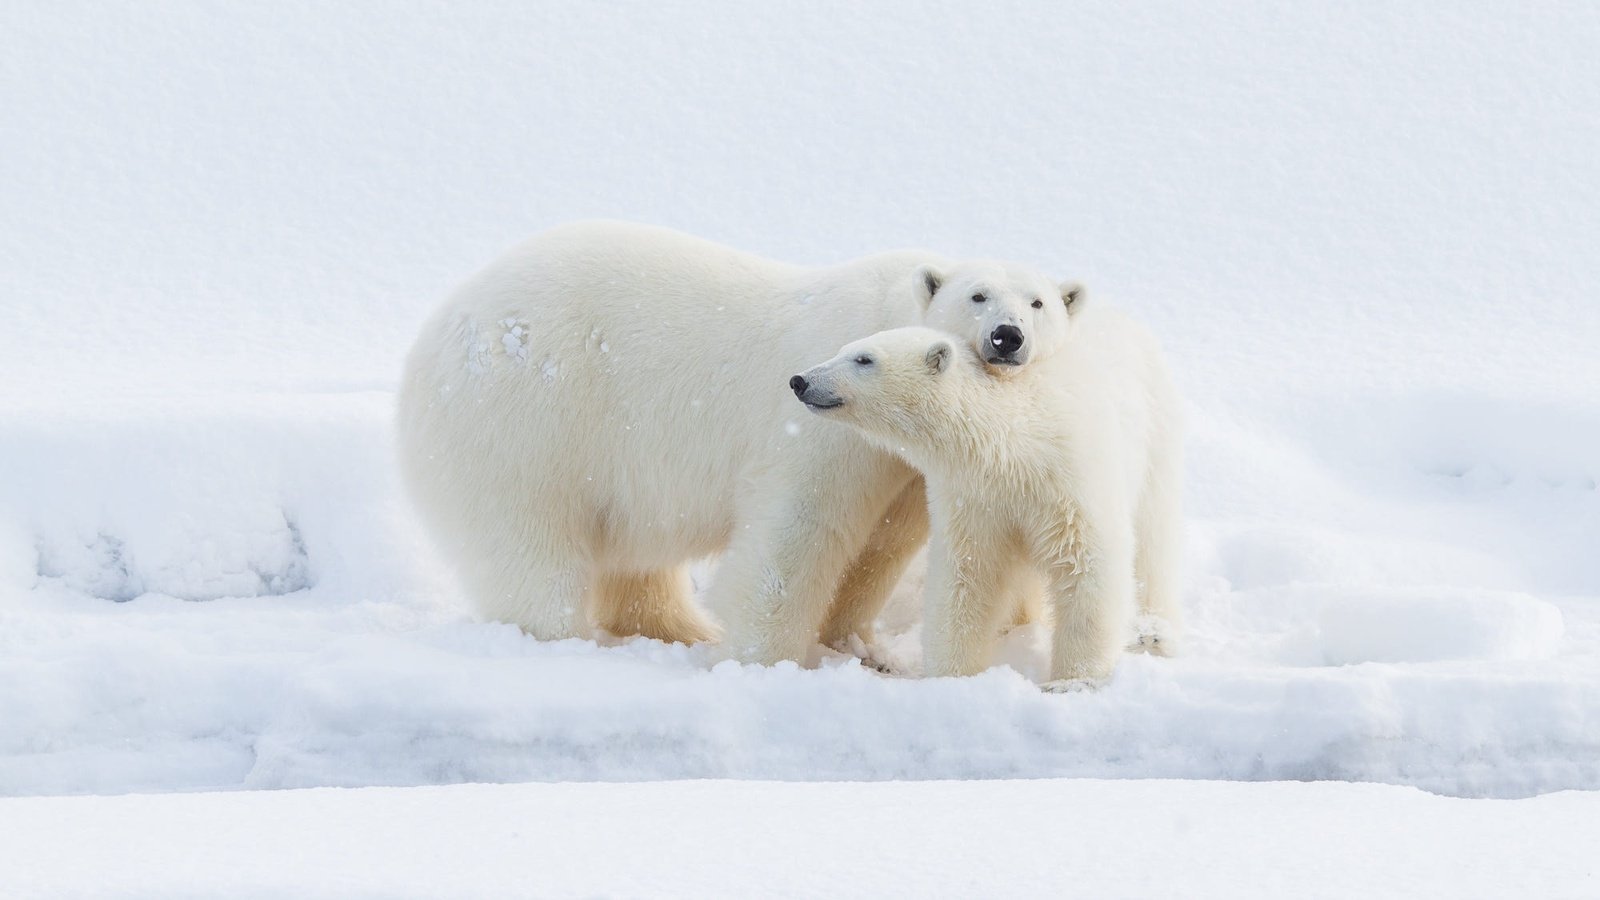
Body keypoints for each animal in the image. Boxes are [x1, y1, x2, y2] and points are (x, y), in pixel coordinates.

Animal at [393, 220, 1081, 662]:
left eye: (1039, 303)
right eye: (977, 296)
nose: (1006, 336)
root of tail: (432, 336)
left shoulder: (908, 464)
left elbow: (882, 545)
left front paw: (858, 646)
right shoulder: (821, 426)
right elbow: (798, 530)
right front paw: (767, 657)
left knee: (634, 559)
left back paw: (680, 629)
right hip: (528, 419)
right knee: (530, 543)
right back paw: (567, 638)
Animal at [793, 312, 1184, 682]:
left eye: (864, 358)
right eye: (843, 349)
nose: (800, 381)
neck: (1015, 443)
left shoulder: (1070, 479)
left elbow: (1087, 563)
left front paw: (1074, 679)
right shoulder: (975, 498)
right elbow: (967, 577)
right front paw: (952, 678)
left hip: (1155, 430)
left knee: (1153, 538)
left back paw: (1153, 633)